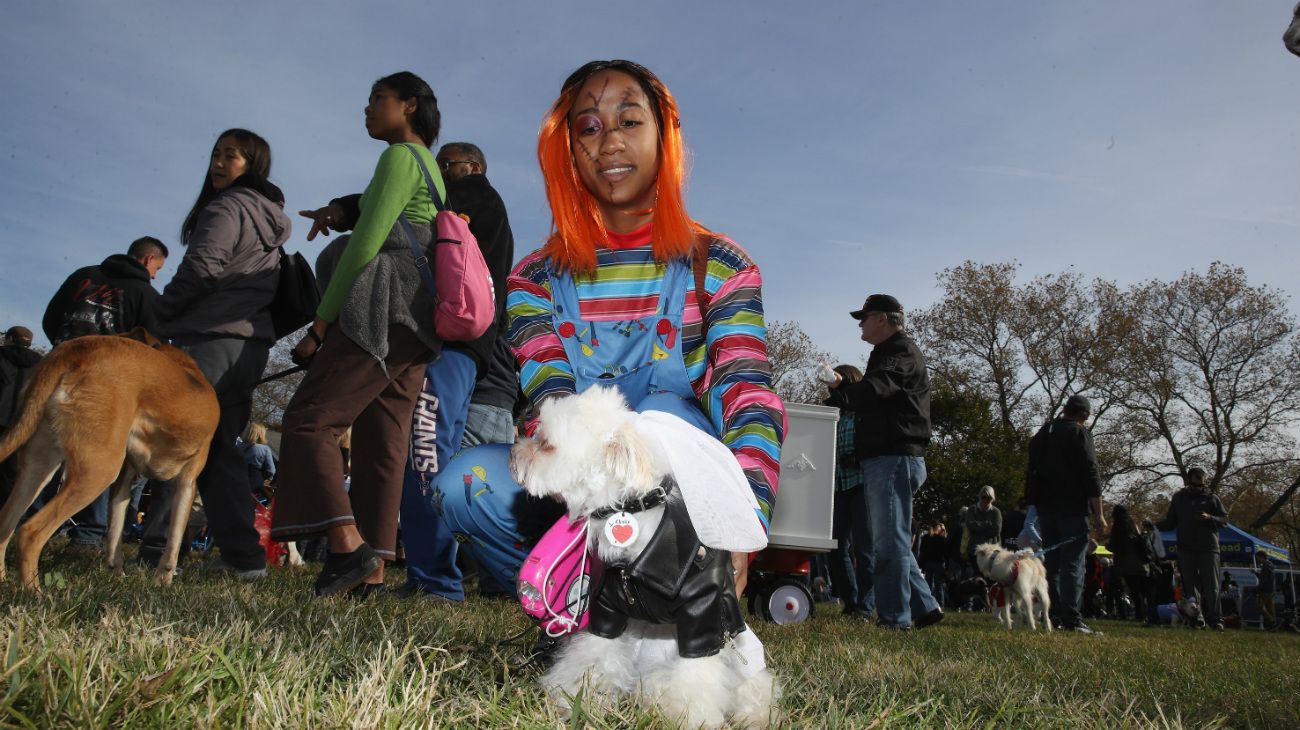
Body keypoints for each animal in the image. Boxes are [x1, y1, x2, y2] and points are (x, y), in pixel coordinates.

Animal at [0, 329, 217, 584]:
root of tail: (76, 349)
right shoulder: (187, 480)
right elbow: (173, 539)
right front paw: (162, 580)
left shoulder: (125, 477)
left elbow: (115, 531)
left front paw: (118, 574)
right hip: (99, 470)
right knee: (29, 533)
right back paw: (34, 590)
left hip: (39, 465)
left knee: (6, 523)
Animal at [504, 384, 769, 722]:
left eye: (546, 444)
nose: (512, 453)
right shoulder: (606, 611)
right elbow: (592, 657)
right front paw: (574, 697)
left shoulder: (703, 619)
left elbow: (696, 680)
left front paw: (691, 716)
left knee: (755, 689)